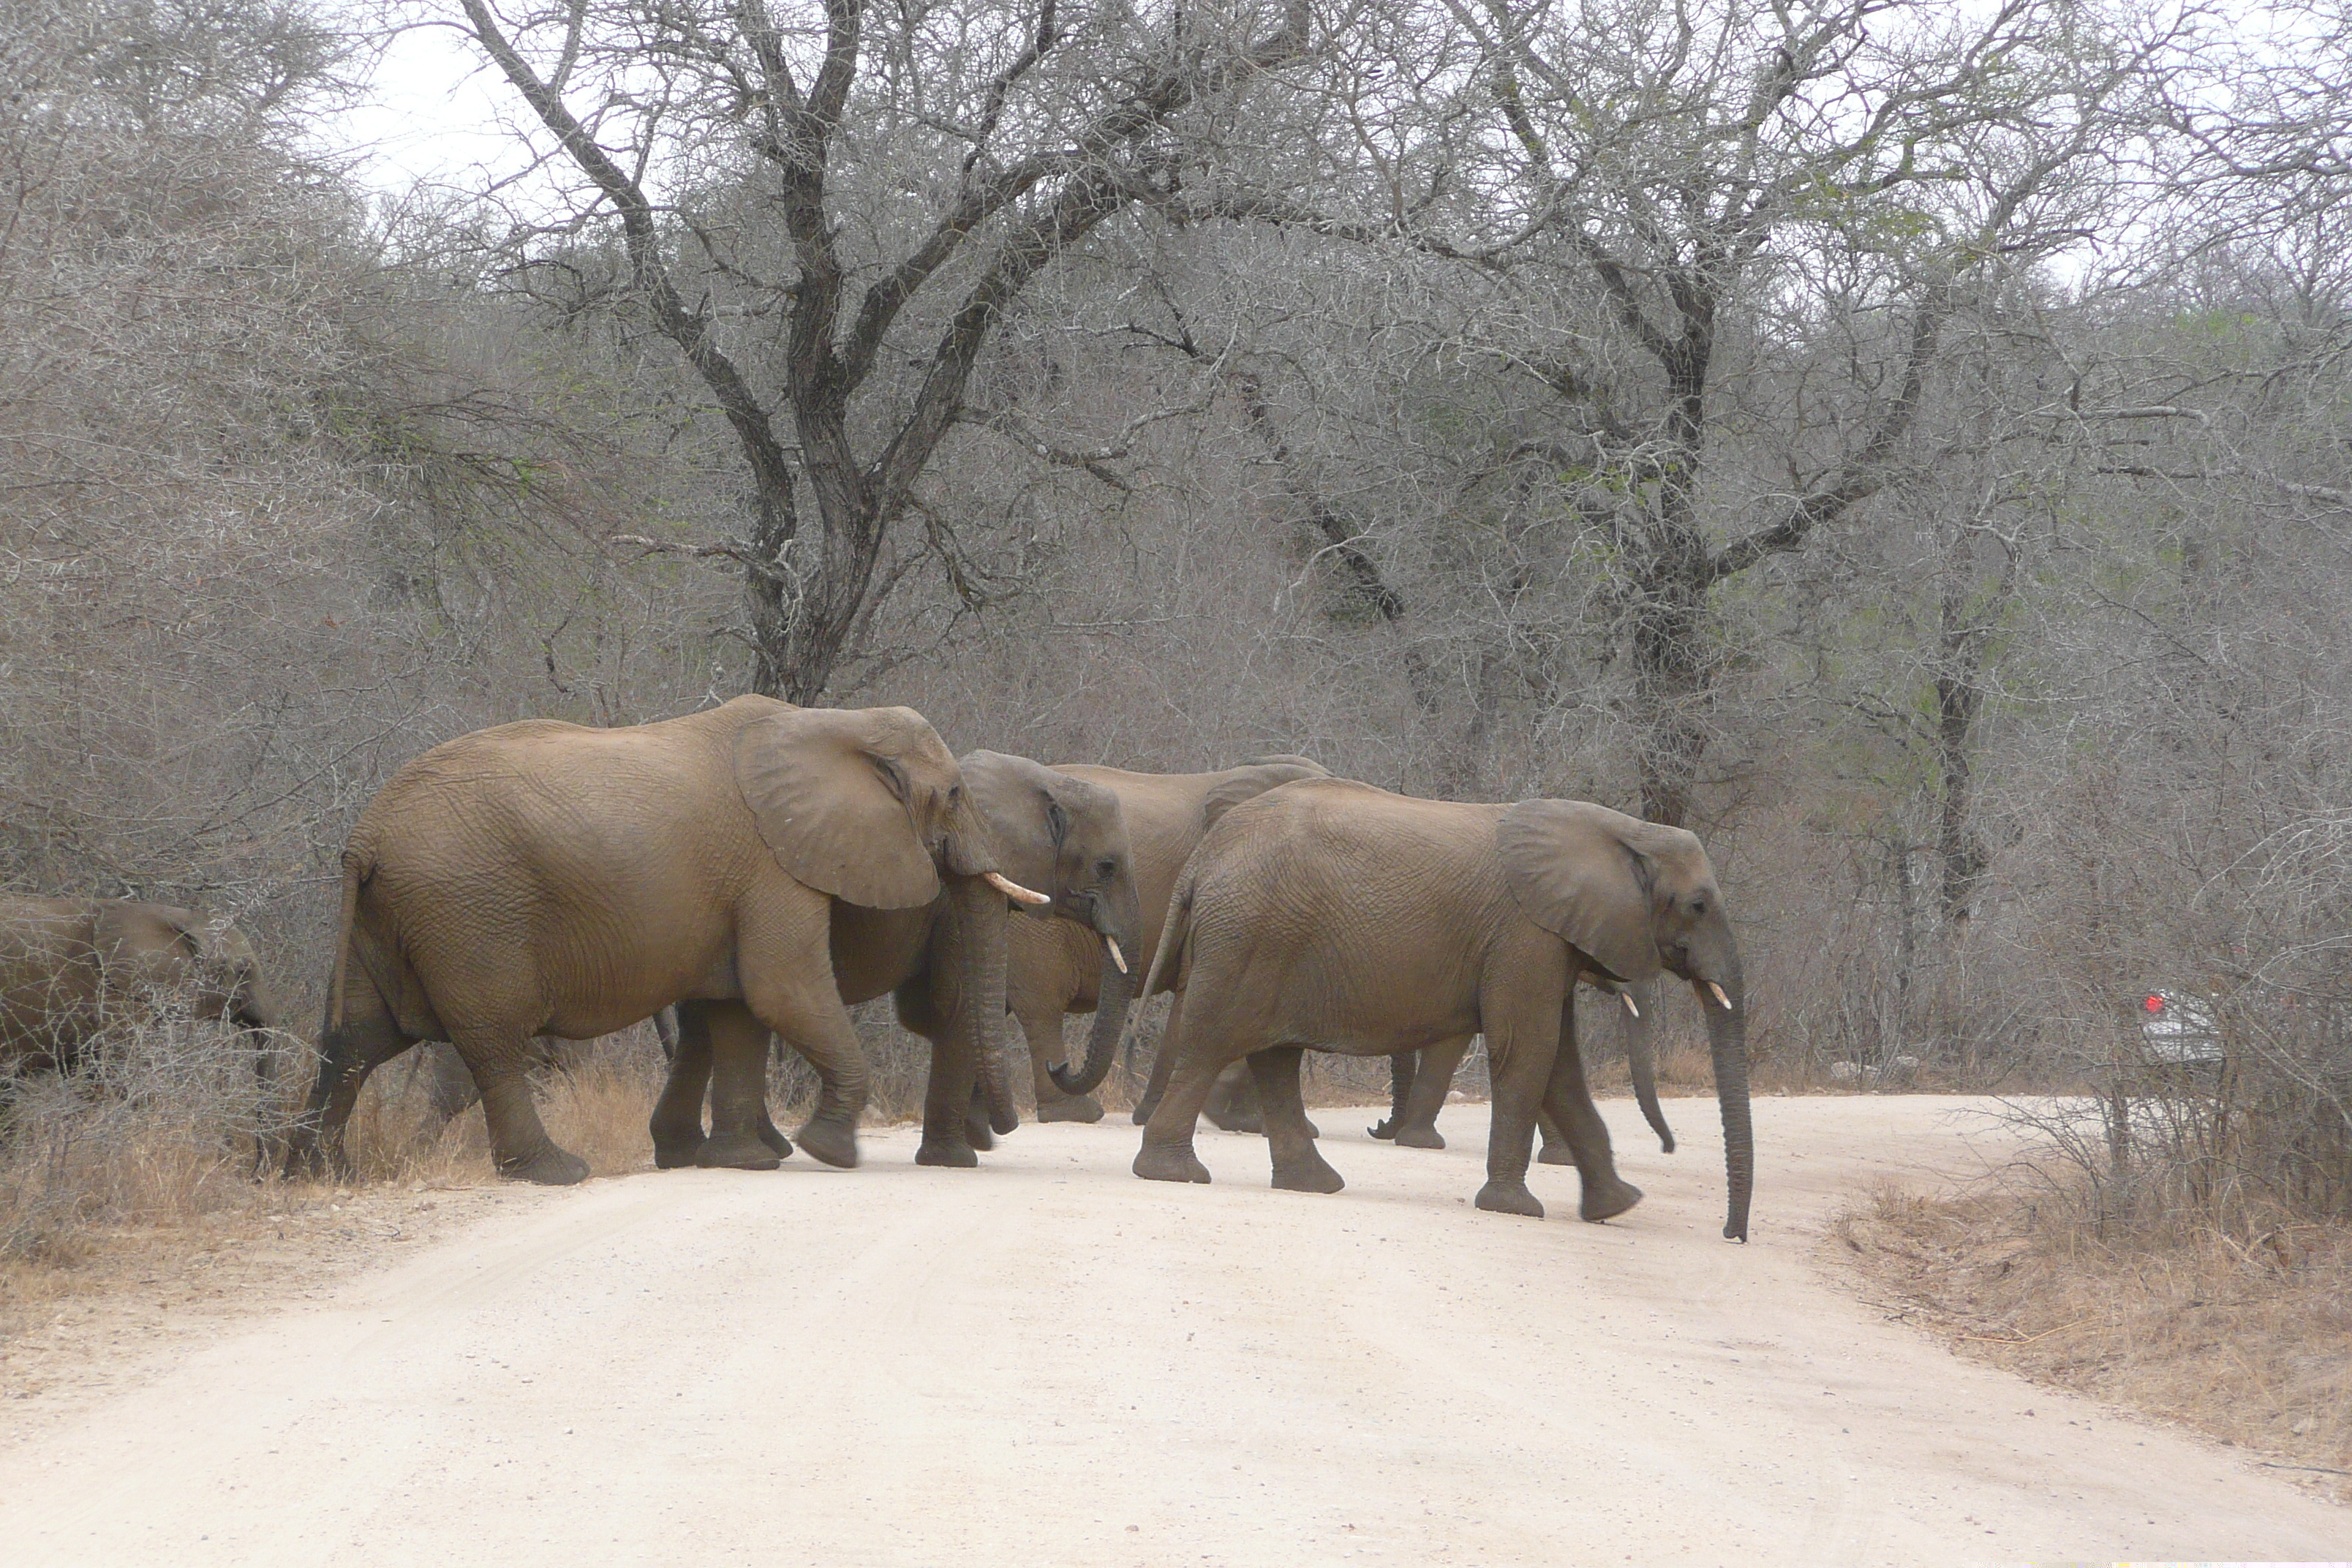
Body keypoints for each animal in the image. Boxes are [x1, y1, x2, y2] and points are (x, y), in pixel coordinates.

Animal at [279, 700, 1044, 1189]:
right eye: (953, 794)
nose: (1007, 1127)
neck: (833, 720)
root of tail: (364, 837)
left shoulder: (747, 881)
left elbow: (738, 1011)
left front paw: (744, 1163)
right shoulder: (773, 865)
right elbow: (783, 989)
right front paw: (826, 1152)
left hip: (393, 915)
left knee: (355, 1040)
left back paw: (319, 1177)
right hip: (468, 913)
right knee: (493, 1042)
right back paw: (558, 1173)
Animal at [654, 747, 1147, 1166]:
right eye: (1106, 867)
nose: (1057, 1065)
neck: (1041, 780)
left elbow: (931, 1013)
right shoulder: (953, 901)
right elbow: (956, 1006)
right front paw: (954, 1160)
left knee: (702, 1022)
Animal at [1128, 780, 1759, 1241]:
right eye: (1698, 906)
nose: (1734, 1236)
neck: (1622, 830)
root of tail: (1202, 858)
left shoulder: (1546, 942)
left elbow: (1560, 1065)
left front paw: (1616, 1208)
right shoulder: (1525, 935)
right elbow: (1528, 1050)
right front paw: (1516, 1209)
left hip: (1269, 938)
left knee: (1275, 1058)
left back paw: (1315, 1185)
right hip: (1250, 935)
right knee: (1213, 1043)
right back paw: (1174, 1173)